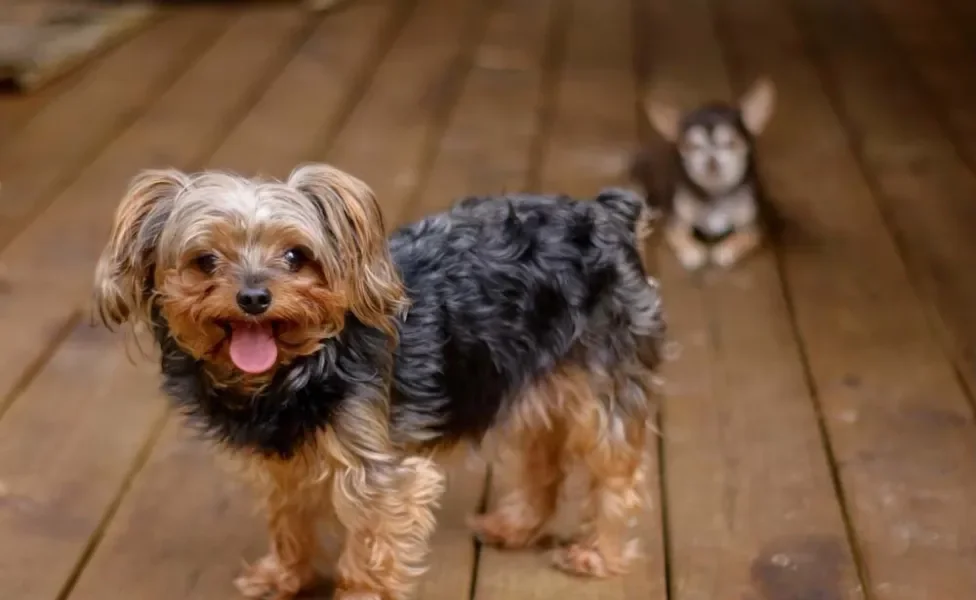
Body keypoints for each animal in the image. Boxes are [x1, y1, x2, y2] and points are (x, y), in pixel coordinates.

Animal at [91, 163, 668, 600]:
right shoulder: (284, 464)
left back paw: (597, 554)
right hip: (529, 378)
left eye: (296, 256)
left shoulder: (378, 475)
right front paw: (284, 576)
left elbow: (369, 549)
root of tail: (608, 212)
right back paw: (517, 526)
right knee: (541, 456)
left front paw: (358, 593)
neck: (297, 370)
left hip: (605, 378)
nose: (254, 296)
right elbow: (288, 519)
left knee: (615, 470)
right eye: (204, 260)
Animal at [632, 79, 776, 270]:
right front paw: (692, 252)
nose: (711, 161)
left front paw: (725, 250)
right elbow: (679, 236)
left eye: (730, 144)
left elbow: (744, 238)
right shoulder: (675, 226)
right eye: (693, 146)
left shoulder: (754, 229)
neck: (715, 193)